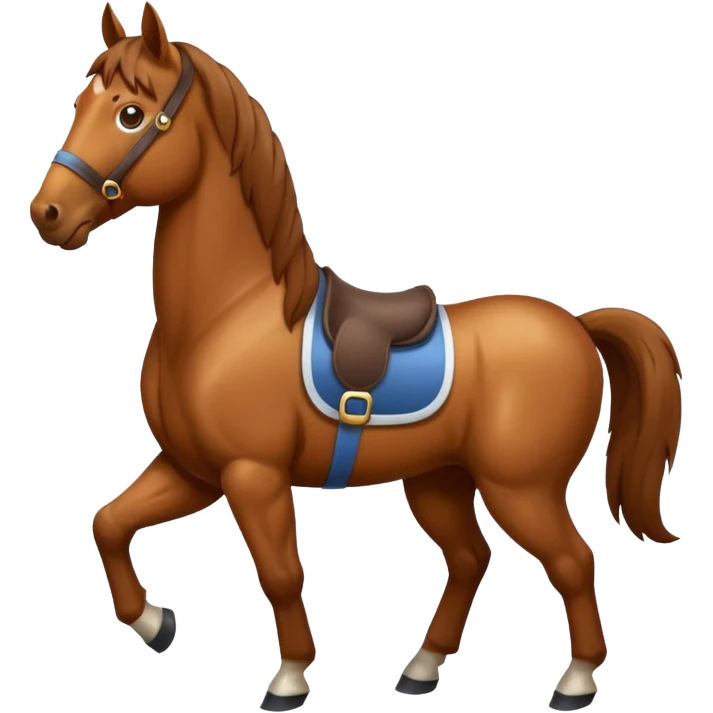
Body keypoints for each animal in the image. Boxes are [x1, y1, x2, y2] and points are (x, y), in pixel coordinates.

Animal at [28, 3, 684, 711]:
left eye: (130, 113)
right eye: (80, 103)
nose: (48, 213)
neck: (228, 314)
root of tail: (578, 326)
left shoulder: (251, 475)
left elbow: (281, 573)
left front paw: (289, 678)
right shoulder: (191, 468)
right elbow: (109, 523)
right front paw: (154, 623)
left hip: (522, 489)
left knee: (572, 561)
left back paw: (576, 680)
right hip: (440, 480)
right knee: (470, 558)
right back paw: (422, 667)